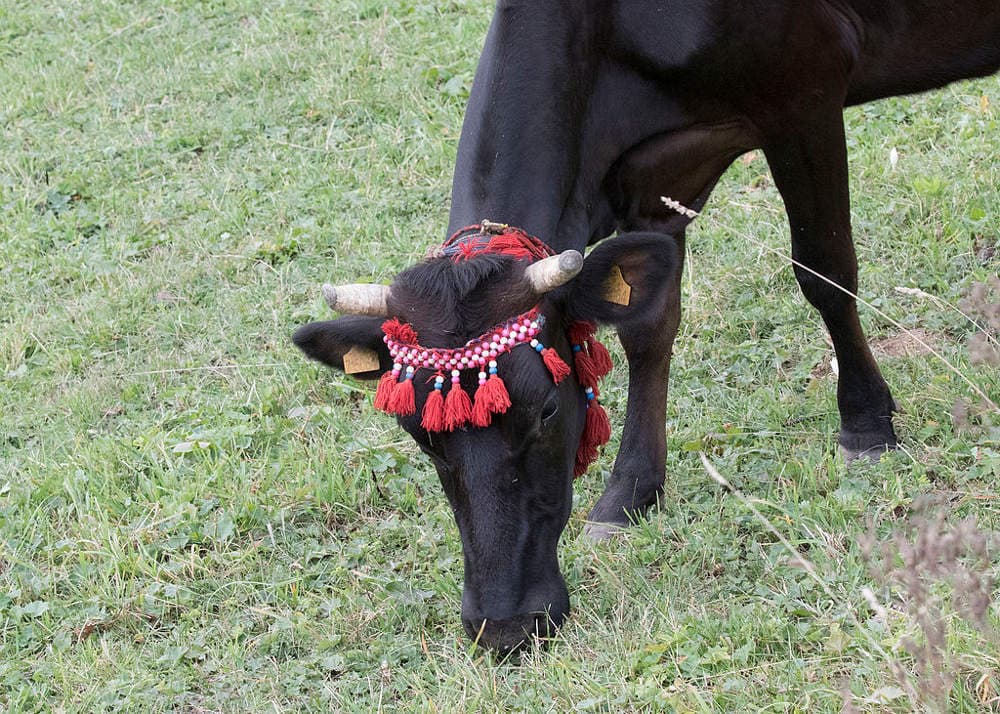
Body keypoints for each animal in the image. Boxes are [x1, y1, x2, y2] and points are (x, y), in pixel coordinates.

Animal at [294, 1, 1000, 653]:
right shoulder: (655, 174)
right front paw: (630, 491)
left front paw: (866, 421)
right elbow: (649, 326)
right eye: (419, 433)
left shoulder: (805, 91)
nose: (503, 624)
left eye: (548, 410)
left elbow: (824, 269)